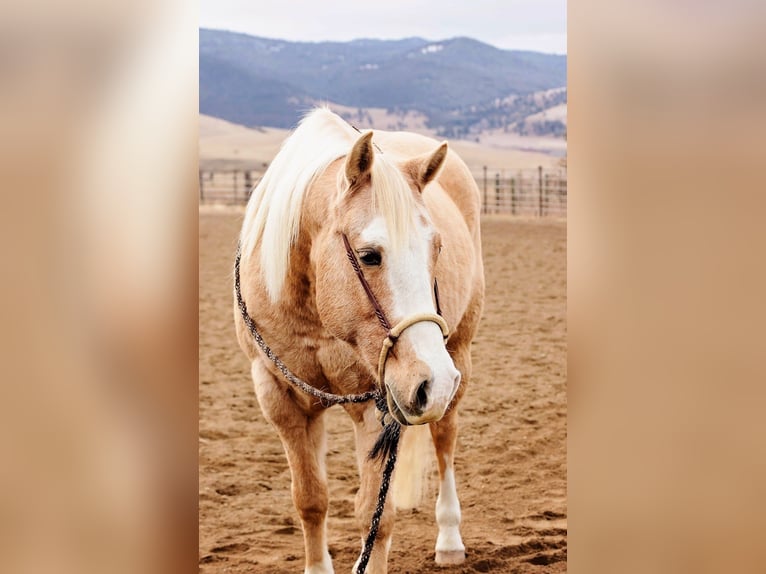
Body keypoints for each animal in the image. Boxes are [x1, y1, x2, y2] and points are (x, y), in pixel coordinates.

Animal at [234, 108, 485, 573]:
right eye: (369, 255)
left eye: (437, 248)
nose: (433, 381)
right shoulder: (280, 398)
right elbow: (310, 500)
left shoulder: (377, 402)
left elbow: (375, 515)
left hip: (458, 355)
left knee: (445, 441)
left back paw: (449, 539)